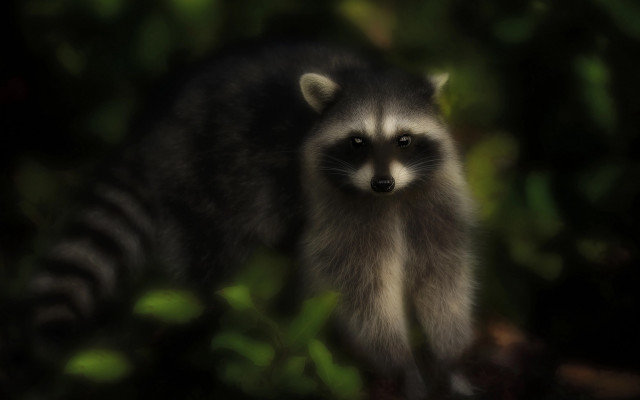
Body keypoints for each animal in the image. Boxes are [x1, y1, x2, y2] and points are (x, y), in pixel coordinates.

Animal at [27, 43, 475, 399]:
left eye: (404, 139)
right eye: (357, 142)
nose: (382, 183)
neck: (392, 199)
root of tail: (150, 136)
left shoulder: (434, 202)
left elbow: (443, 277)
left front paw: (447, 357)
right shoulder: (335, 214)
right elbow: (361, 291)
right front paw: (401, 362)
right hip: (198, 187)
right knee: (215, 265)